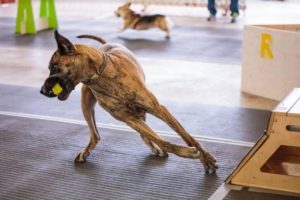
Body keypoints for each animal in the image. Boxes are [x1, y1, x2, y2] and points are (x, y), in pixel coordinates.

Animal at [39, 30, 218, 173]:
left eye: (53, 67)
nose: (42, 91)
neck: (102, 75)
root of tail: (105, 45)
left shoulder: (158, 108)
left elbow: (187, 136)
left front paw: (206, 158)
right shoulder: (128, 118)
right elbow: (161, 139)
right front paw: (186, 152)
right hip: (87, 102)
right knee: (96, 135)